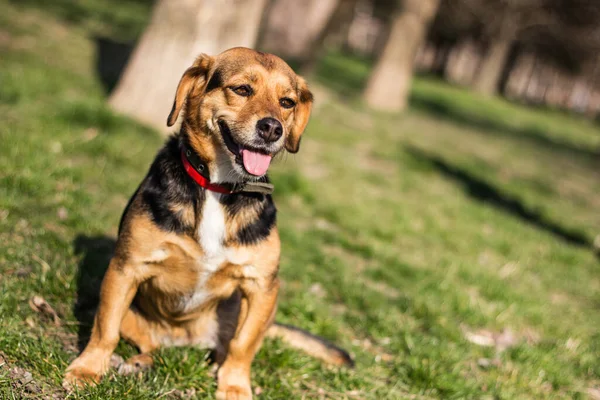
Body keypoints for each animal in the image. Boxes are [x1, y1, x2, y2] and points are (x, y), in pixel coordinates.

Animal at [62, 46, 352, 396]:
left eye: (287, 102)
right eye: (242, 89)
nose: (272, 129)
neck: (219, 186)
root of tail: (182, 340)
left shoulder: (262, 287)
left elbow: (243, 346)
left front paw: (236, 386)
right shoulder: (125, 268)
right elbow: (105, 328)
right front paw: (88, 370)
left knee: (227, 346)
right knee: (146, 344)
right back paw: (137, 363)